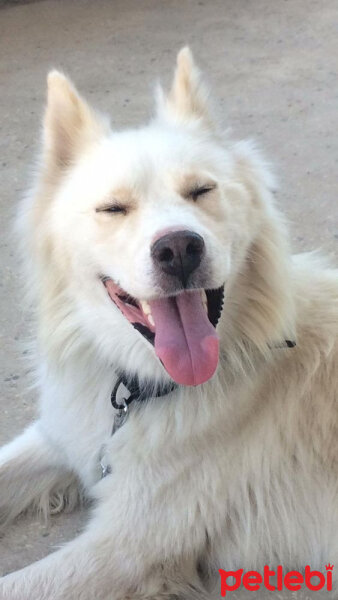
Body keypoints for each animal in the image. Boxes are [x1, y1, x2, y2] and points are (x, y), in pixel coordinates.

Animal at [0, 49, 338, 596]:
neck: (140, 390)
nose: (179, 249)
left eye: (201, 191)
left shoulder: (127, 548)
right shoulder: (62, 436)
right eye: (112, 208)